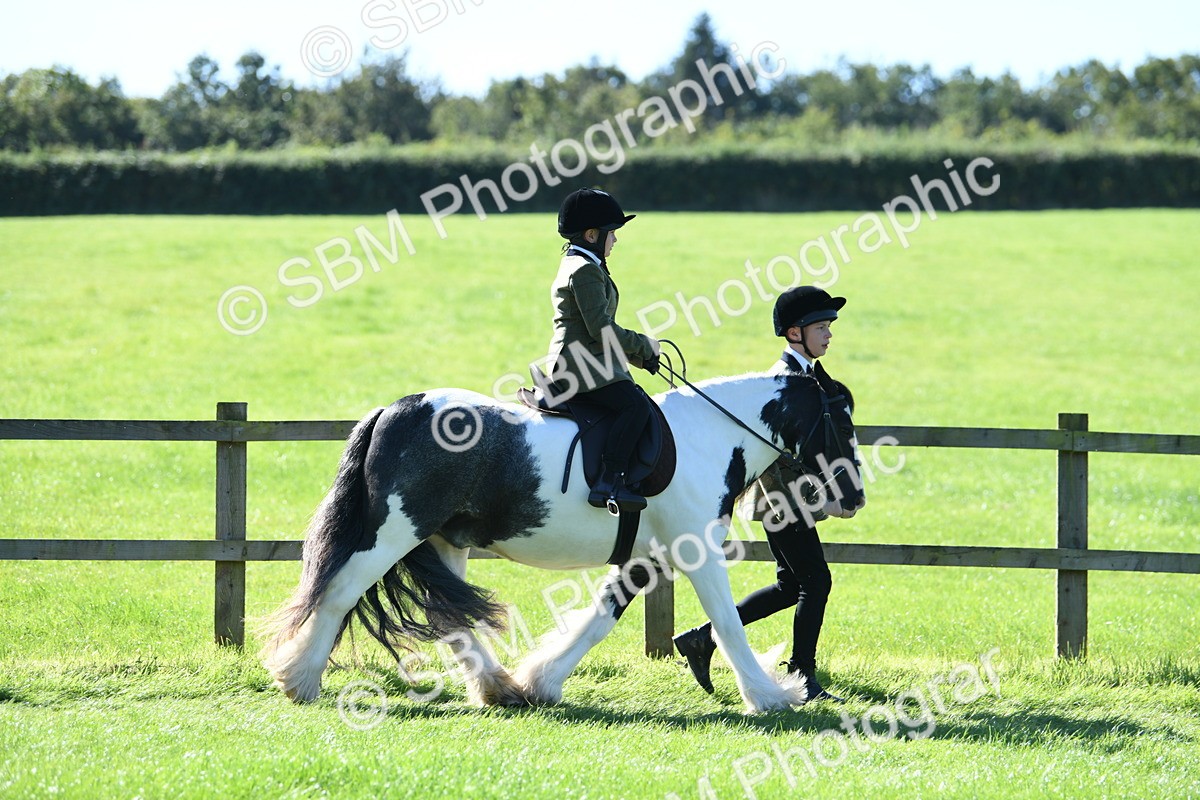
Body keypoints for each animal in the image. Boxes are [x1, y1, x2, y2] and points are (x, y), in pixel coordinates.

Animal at [261, 369, 865, 713]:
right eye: (842, 419)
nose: (853, 497)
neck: (709, 436)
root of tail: (394, 408)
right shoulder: (698, 553)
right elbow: (729, 623)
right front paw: (772, 695)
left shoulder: (647, 558)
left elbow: (598, 620)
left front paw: (542, 682)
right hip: (394, 531)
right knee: (339, 594)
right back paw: (300, 679)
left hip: (444, 541)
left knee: (449, 616)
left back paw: (500, 689)